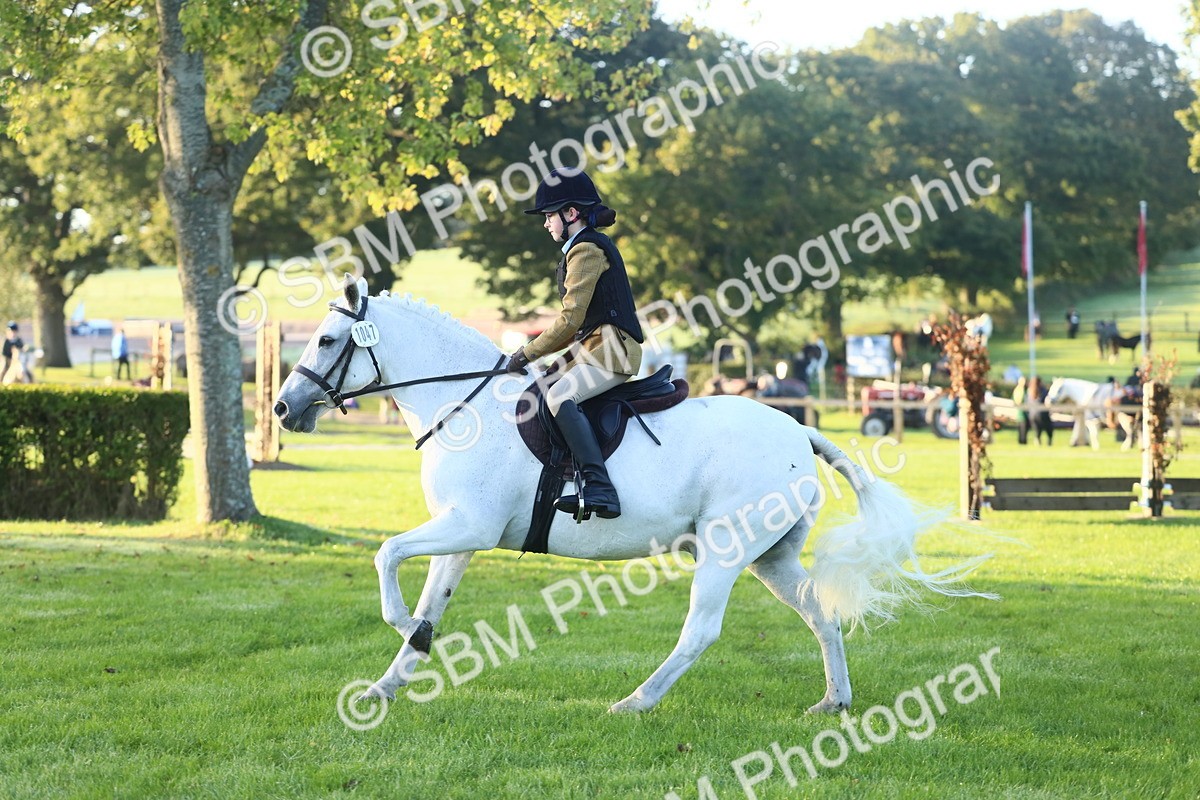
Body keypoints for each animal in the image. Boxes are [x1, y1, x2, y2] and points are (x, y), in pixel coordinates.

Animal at [274, 276, 994, 715]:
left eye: (328, 340)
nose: (283, 408)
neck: (466, 405)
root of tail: (798, 427)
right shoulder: (461, 535)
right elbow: (428, 598)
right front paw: (391, 678)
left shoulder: (468, 526)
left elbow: (386, 556)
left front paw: (407, 632)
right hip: (772, 555)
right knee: (820, 613)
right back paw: (833, 701)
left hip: (725, 551)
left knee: (701, 630)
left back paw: (637, 701)